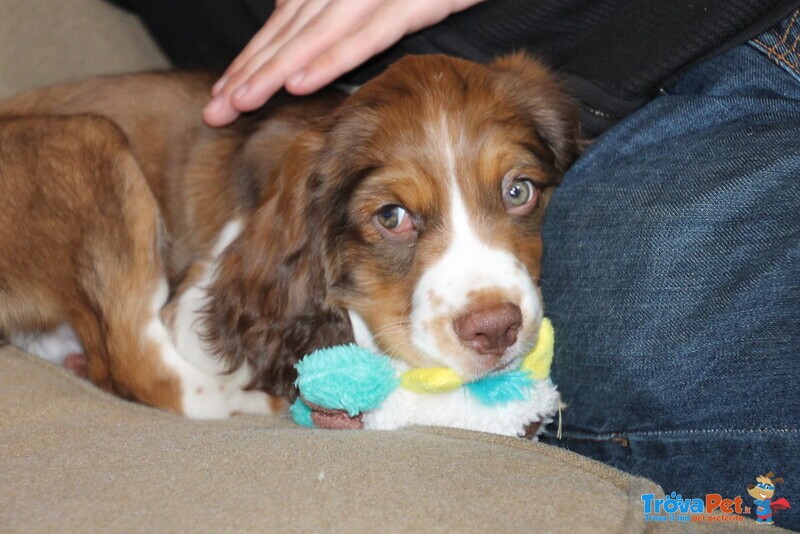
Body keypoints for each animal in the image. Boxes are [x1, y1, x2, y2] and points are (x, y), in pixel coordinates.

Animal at [0, 55, 580, 422]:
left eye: (519, 190)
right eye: (392, 217)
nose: (496, 329)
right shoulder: (194, 305)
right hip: (94, 142)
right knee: (135, 366)